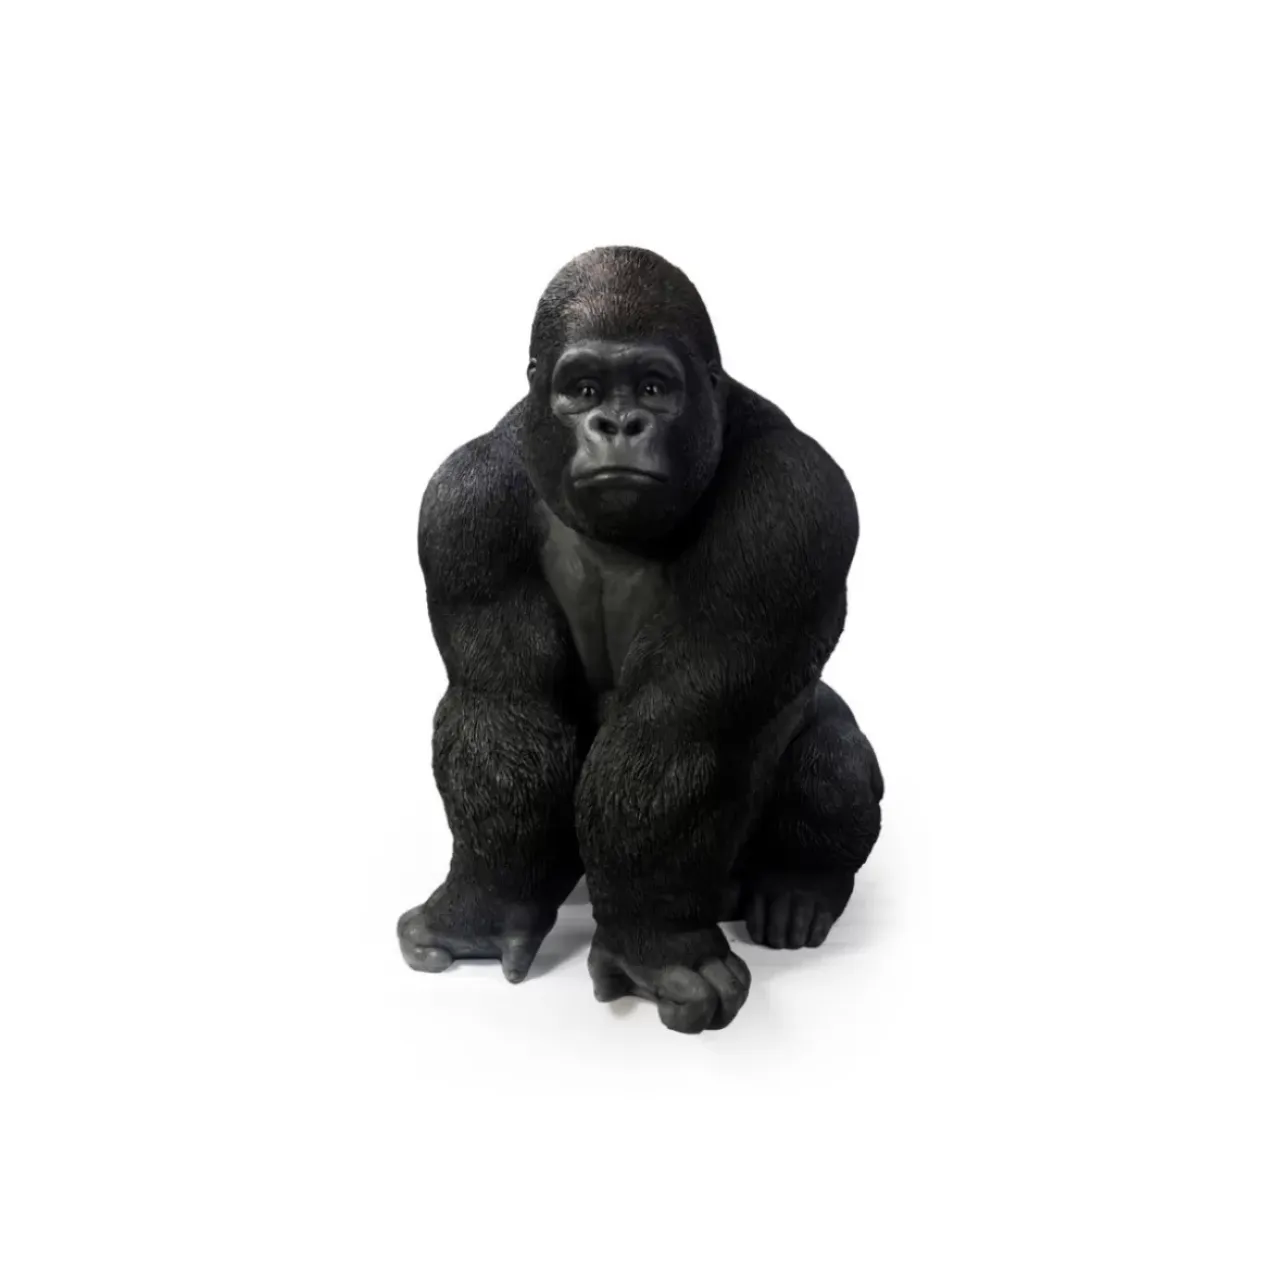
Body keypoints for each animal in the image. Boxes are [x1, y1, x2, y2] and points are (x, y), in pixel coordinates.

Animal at [397, 247, 883, 1033]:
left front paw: (655, 945)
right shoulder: (460, 502)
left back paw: (799, 887)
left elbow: (682, 728)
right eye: (583, 388)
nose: (617, 423)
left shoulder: (796, 502)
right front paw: (486, 903)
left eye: (654, 388)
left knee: (834, 752)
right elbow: (503, 709)